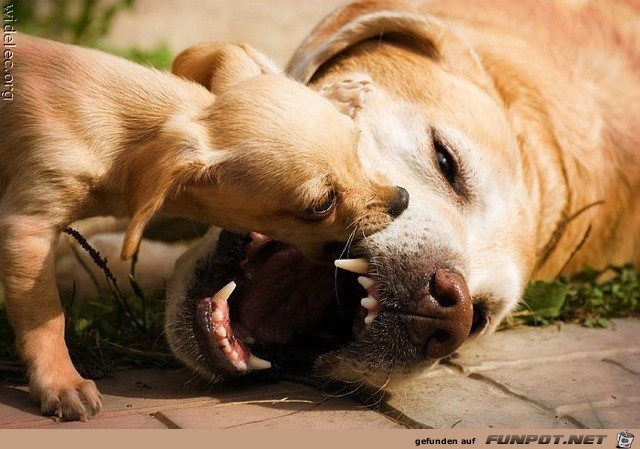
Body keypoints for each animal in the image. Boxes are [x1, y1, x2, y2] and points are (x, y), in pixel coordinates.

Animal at [0, 36, 410, 420]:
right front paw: (61, 382)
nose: (402, 200)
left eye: (358, 151)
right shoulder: (28, 228)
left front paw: (341, 93)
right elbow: (46, 316)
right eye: (321, 204)